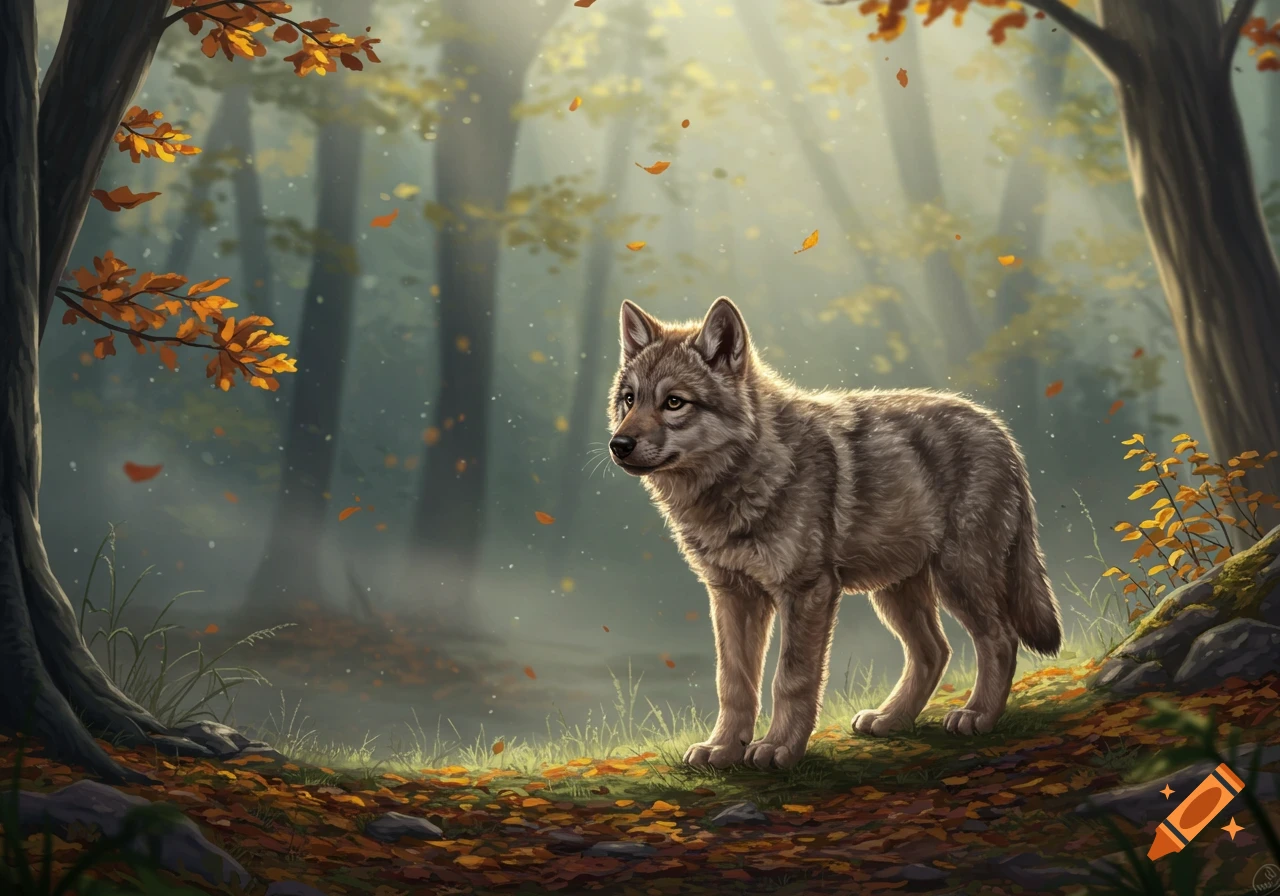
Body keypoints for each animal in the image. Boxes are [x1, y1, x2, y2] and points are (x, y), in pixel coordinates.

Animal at [607, 297, 1061, 770]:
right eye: (629, 400)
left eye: (674, 402)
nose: (618, 444)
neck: (742, 478)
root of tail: (999, 430)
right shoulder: (732, 594)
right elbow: (733, 682)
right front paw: (723, 749)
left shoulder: (807, 590)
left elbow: (791, 678)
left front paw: (778, 748)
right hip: (895, 591)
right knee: (934, 651)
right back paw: (890, 719)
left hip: (958, 579)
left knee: (1000, 639)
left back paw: (977, 716)